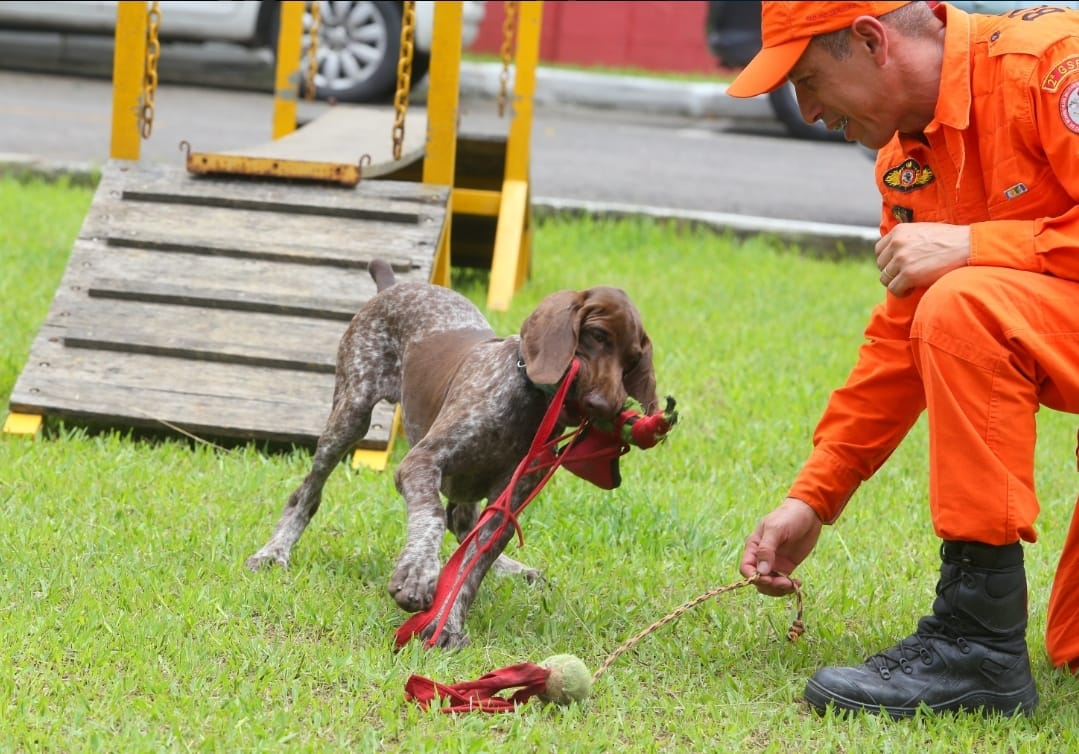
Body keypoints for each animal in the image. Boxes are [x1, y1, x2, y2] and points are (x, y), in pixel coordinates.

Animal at [244, 259, 656, 647]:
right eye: (598, 336)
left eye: (633, 360)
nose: (606, 406)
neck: (529, 402)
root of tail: (394, 285)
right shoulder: (420, 463)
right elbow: (431, 518)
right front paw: (418, 574)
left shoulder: (508, 503)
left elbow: (471, 565)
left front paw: (449, 623)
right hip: (351, 413)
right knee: (308, 493)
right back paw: (273, 552)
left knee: (463, 524)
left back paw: (513, 569)